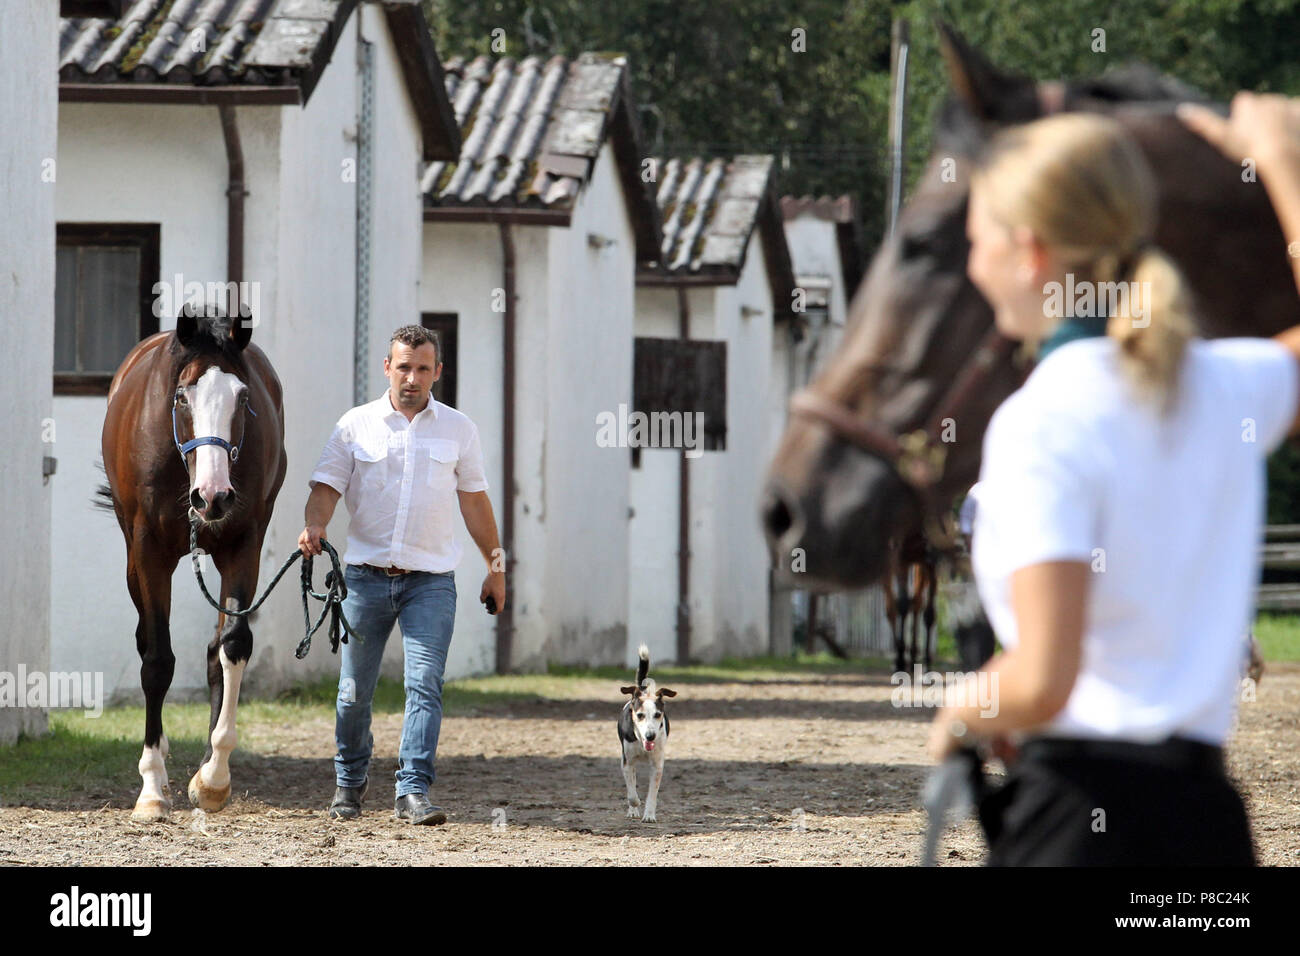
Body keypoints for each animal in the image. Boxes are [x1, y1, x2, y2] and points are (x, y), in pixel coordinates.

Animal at [98, 303, 287, 816]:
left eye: (243, 397)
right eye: (182, 397)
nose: (213, 496)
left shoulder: (244, 544)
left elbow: (233, 645)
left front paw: (214, 777)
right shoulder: (149, 553)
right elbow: (157, 660)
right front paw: (150, 786)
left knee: (215, 649)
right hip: (131, 558)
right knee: (147, 642)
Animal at [621, 642, 681, 822]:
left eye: (657, 715)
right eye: (640, 715)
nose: (650, 736)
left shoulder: (657, 765)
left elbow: (652, 793)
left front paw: (649, 815)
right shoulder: (627, 762)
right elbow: (631, 793)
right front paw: (635, 805)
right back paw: (633, 811)